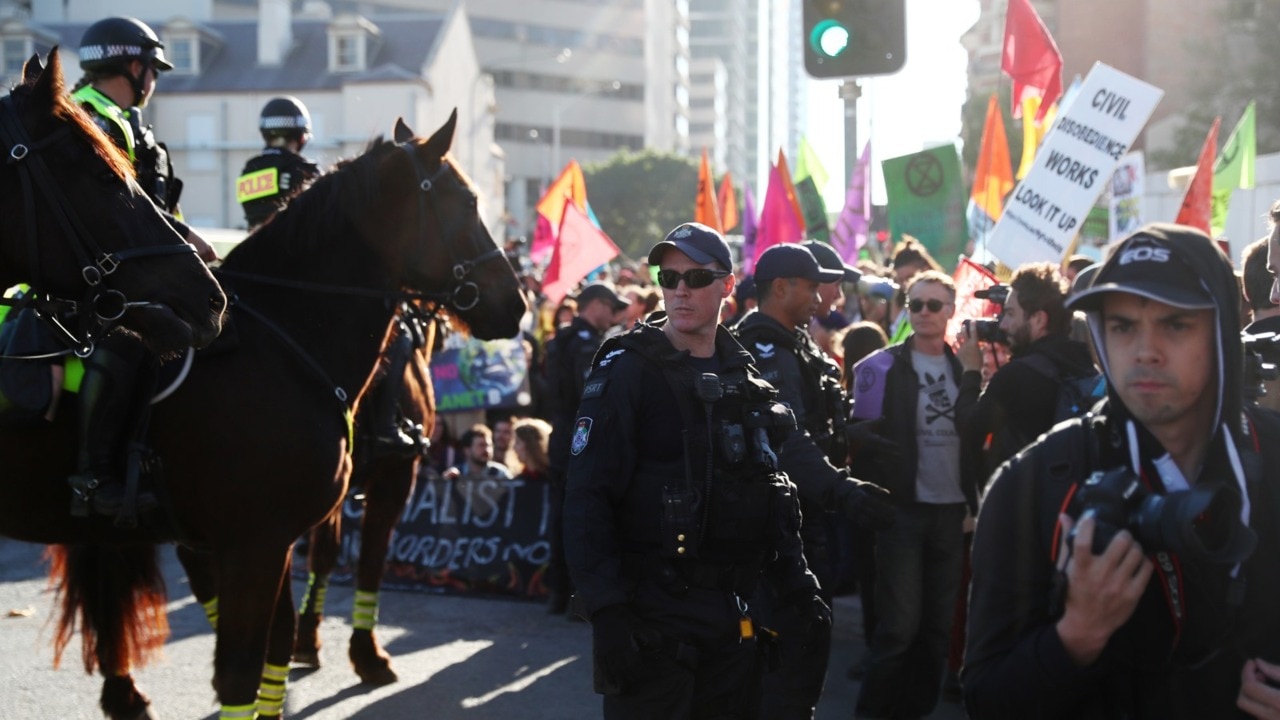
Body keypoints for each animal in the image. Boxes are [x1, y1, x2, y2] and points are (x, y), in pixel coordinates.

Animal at [0, 112, 524, 717]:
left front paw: (319, 647)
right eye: (468, 201)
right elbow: (249, 661)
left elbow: (282, 630)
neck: (282, 337)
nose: (516, 303)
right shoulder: (276, 533)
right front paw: (366, 655)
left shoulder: (278, 534)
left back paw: (124, 690)